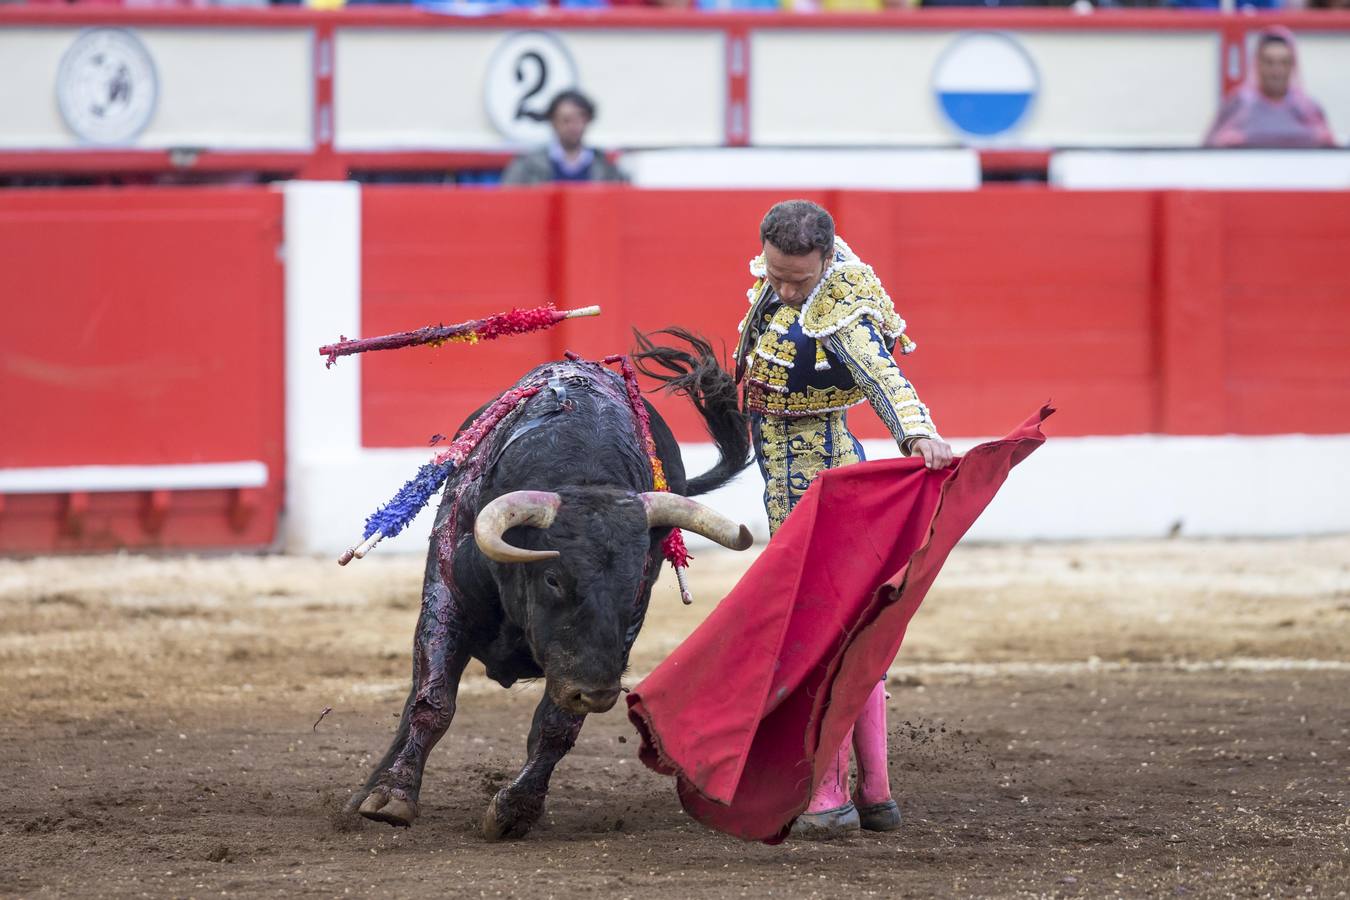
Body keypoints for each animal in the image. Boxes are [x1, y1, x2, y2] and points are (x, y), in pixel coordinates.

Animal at [342, 333, 756, 847]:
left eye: (634, 580)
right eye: (554, 578)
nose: (598, 693)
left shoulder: (608, 647)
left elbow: (556, 725)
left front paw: (514, 810)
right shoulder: (447, 597)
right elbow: (431, 700)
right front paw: (389, 796)